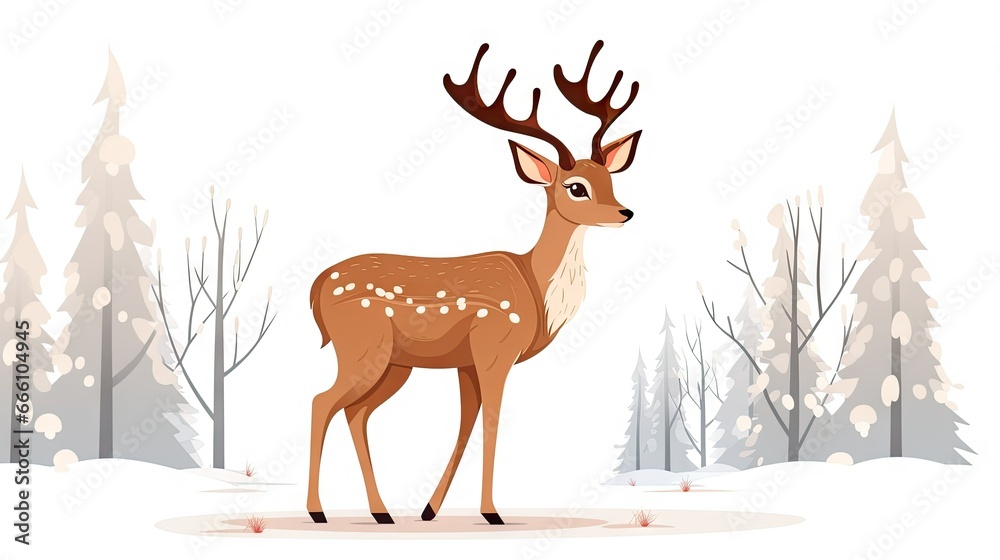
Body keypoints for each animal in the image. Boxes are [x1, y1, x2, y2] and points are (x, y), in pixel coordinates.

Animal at [307, 40, 641, 526]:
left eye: (610, 178)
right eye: (576, 187)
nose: (625, 212)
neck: (535, 292)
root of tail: (316, 289)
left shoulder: (465, 361)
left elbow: (466, 422)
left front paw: (430, 509)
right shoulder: (495, 346)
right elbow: (492, 422)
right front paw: (491, 512)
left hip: (393, 364)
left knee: (355, 413)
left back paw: (382, 512)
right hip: (364, 347)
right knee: (322, 403)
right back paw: (318, 511)